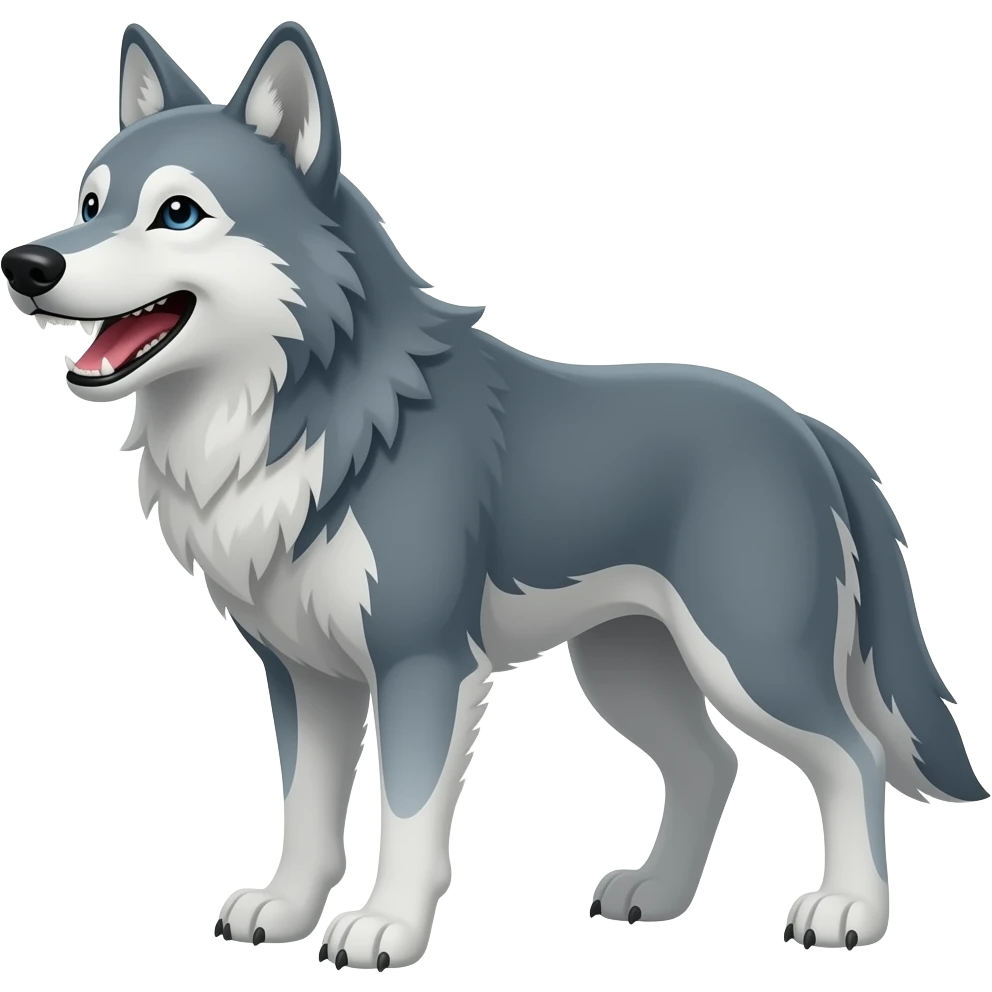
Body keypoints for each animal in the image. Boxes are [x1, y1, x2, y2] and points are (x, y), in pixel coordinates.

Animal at [2, 19, 985, 969]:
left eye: (177, 213)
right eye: (90, 205)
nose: (28, 263)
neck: (304, 414)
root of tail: (809, 428)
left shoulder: (422, 663)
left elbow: (404, 813)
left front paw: (384, 929)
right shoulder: (305, 675)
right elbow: (307, 809)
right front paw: (285, 909)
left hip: (749, 659)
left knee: (851, 755)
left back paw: (849, 910)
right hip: (627, 667)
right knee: (711, 764)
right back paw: (656, 896)